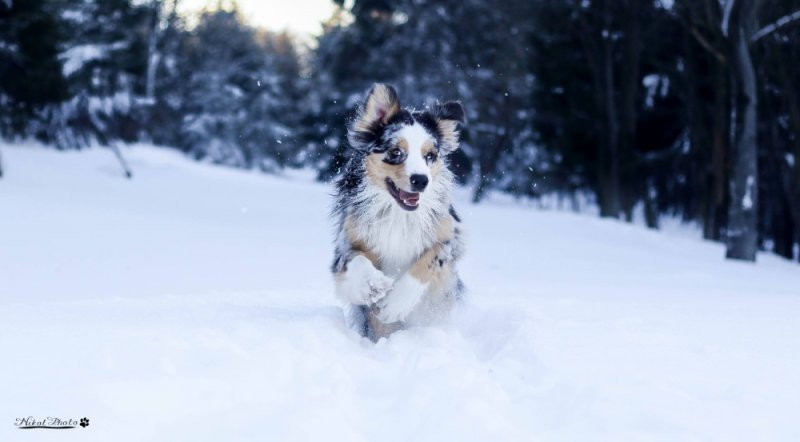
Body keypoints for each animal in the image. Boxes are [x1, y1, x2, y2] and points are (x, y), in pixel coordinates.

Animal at [332, 82, 468, 338]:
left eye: (430, 156)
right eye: (395, 152)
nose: (421, 180)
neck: (398, 213)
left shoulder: (451, 238)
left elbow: (429, 261)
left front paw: (393, 305)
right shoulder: (346, 245)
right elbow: (356, 262)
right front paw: (374, 285)